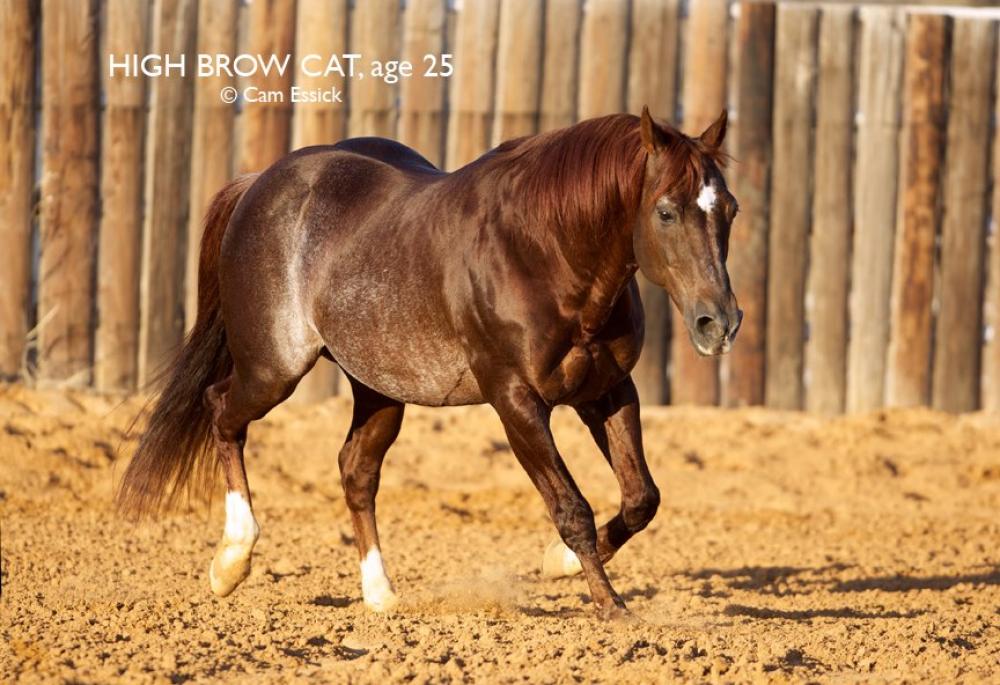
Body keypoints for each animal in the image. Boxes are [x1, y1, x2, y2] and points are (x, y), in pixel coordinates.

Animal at [117, 106, 741, 619]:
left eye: (729, 210)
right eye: (666, 212)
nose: (720, 323)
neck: (544, 252)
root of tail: (259, 183)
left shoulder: (607, 390)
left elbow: (641, 498)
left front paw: (556, 563)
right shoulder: (516, 401)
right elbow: (572, 508)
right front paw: (610, 607)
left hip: (378, 386)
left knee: (355, 470)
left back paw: (380, 596)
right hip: (274, 368)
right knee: (221, 410)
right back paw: (231, 563)